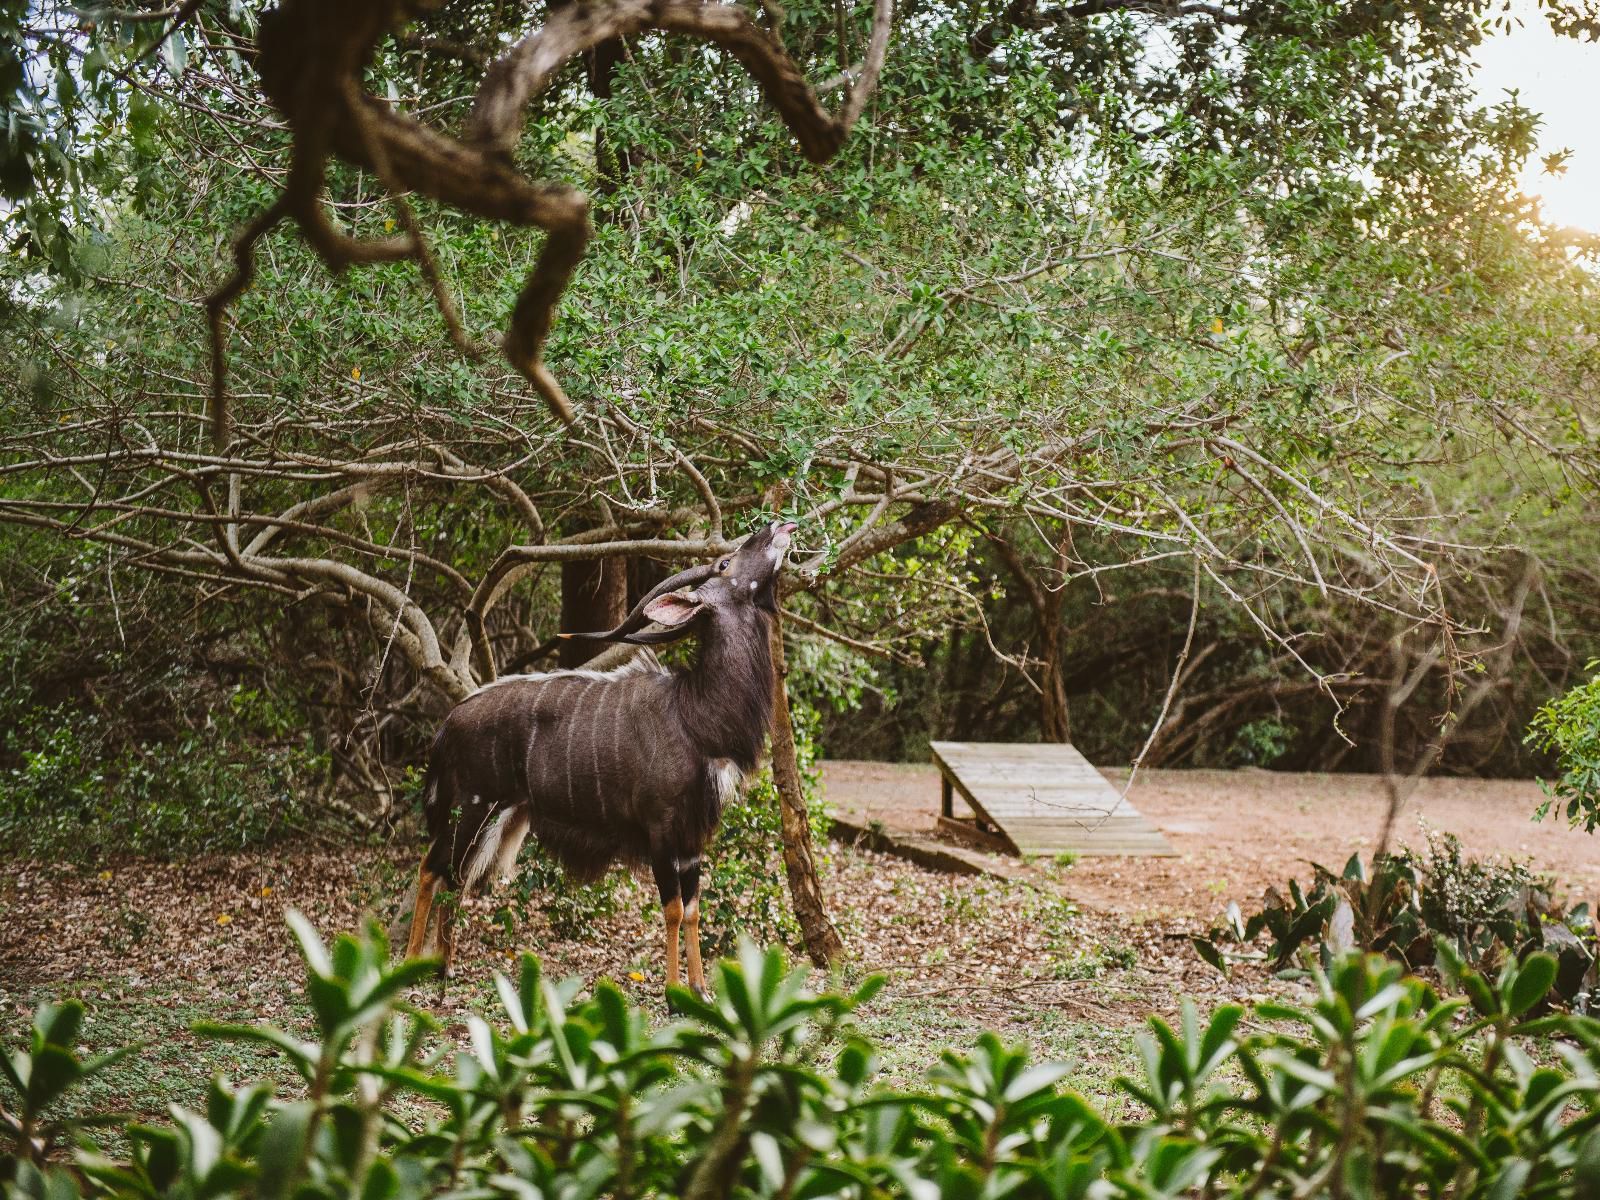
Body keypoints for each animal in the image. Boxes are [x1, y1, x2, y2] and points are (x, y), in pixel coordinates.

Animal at [406, 518, 793, 998]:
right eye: (724, 563)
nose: (776, 525)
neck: (694, 713)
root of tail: (449, 722)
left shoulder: (692, 839)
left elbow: (693, 909)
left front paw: (701, 990)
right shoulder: (661, 831)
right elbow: (672, 908)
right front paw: (673, 994)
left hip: (498, 816)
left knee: (457, 876)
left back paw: (444, 967)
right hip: (472, 806)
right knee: (431, 868)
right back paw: (410, 965)